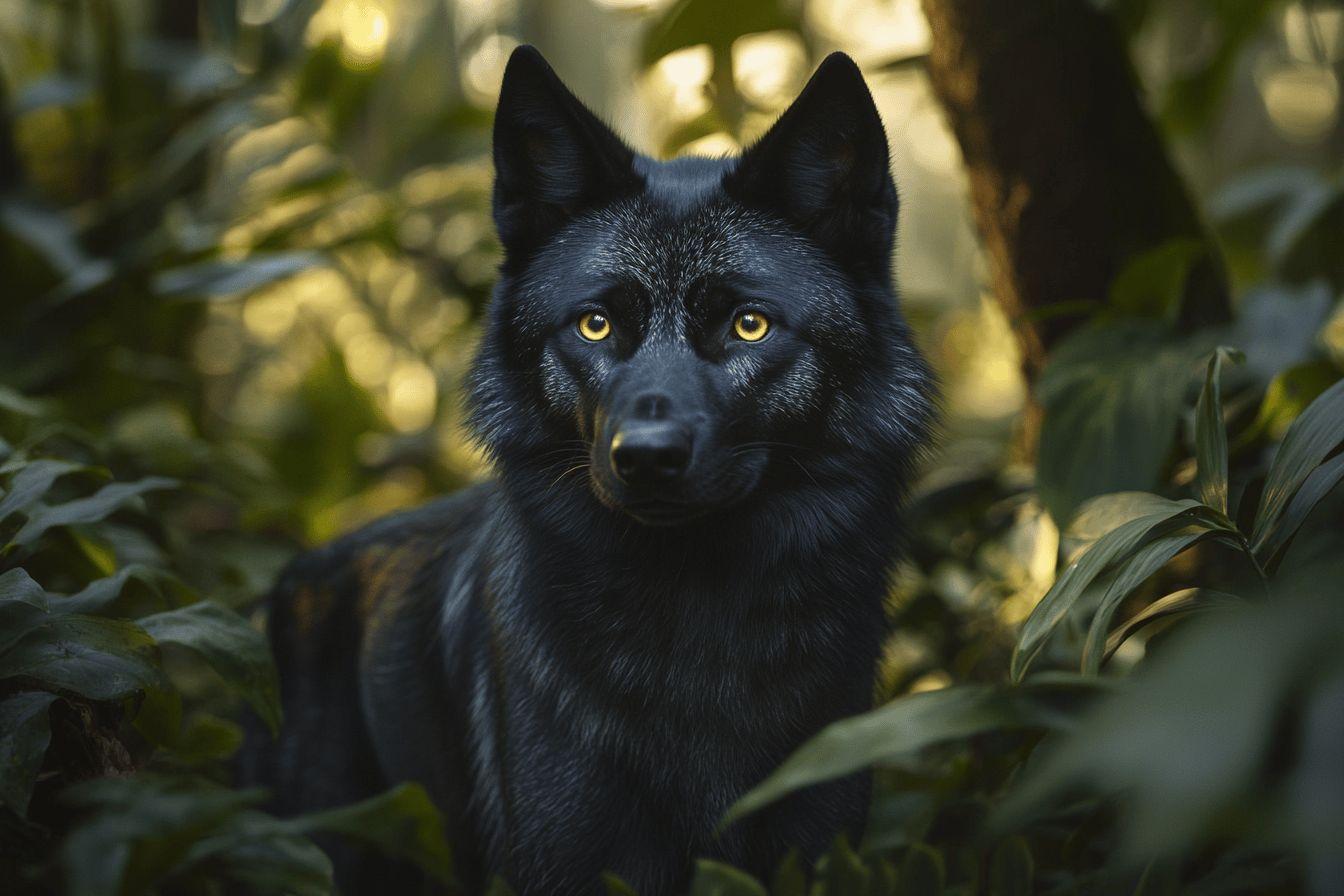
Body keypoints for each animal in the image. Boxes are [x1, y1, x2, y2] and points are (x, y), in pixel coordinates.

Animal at [243, 45, 935, 895]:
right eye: (596, 324)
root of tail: (289, 582)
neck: (697, 622)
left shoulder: (813, 846)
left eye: (749, 325)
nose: (647, 457)